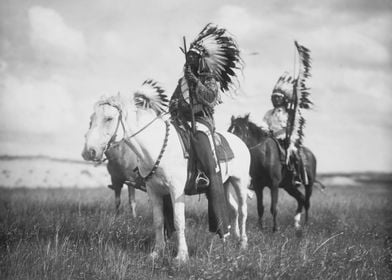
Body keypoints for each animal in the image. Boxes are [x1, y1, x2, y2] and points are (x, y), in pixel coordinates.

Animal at [82, 90, 251, 262]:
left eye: (109, 118)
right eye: (91, 119)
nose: (89, 151)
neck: (156, 147)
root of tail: (240, 141)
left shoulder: (176, 190)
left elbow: (178, 221)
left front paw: (181, 256)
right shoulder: (154, 191)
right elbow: (158, 221)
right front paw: (157, 251)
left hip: (240, 182)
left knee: (243, 210)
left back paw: (243, 243)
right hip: (225, 183)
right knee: (233, 208)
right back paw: (230, 238)